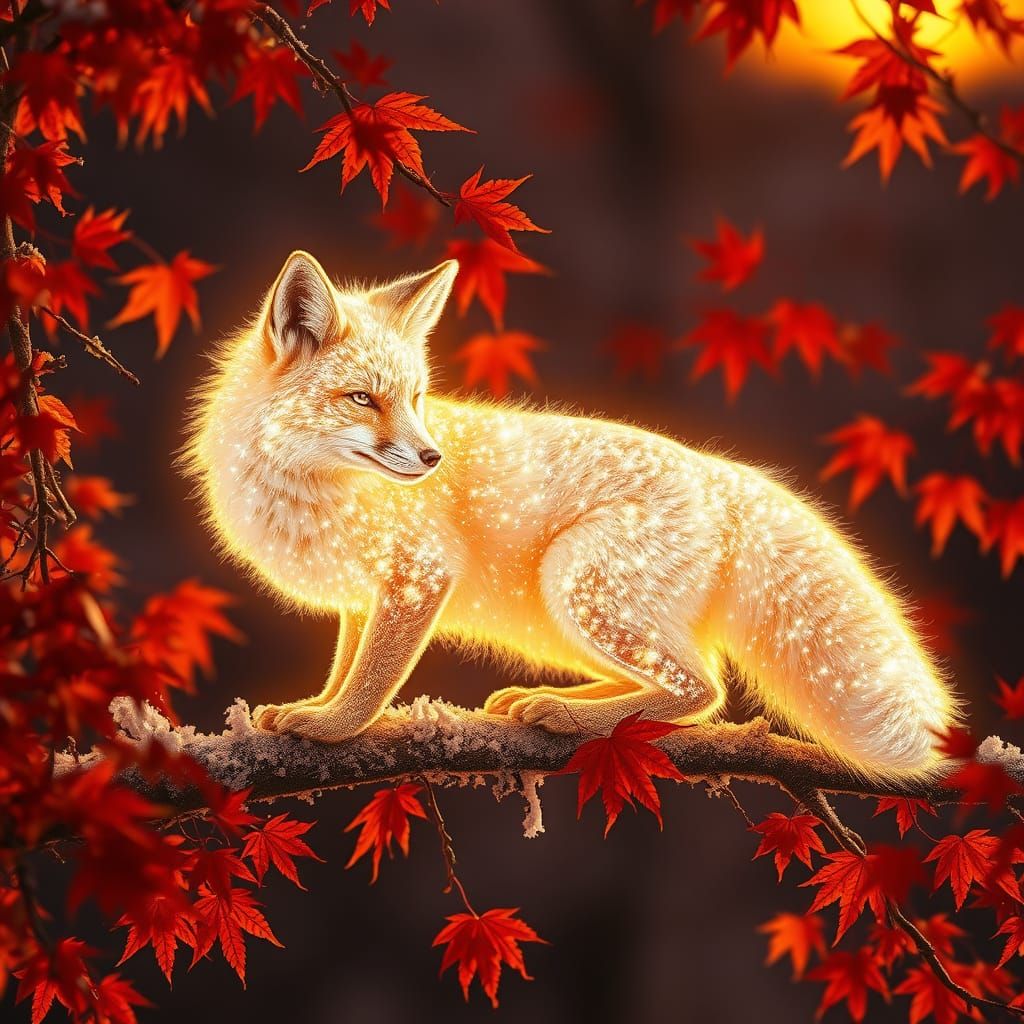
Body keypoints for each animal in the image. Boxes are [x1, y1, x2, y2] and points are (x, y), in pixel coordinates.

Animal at [184, 251, 961, 777]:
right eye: (362, 400)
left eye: (416, 398)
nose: (432, 458)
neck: (308, 490)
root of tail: (724, 475)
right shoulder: (363, 595)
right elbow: (347, 665)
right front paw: (317, 709)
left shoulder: (418, 578)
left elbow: (372, 680)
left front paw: (333, 728)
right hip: (559, 618)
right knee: (674, 680)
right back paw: (557, 703)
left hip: (576, 584)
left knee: (701, 689)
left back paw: (571, 718)